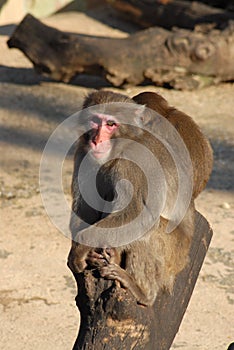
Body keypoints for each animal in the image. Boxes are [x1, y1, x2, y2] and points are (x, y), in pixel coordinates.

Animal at [67, 89, 212, 306]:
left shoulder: (133, 165)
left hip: (175, 254)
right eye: (95, 120)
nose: (96, 140)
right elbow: (84, 207)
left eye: (111, 124)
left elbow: (139, 215)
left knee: (148, 231)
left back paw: (142, 292)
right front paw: (87, 252)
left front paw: (81, 248)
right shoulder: (82, 154)